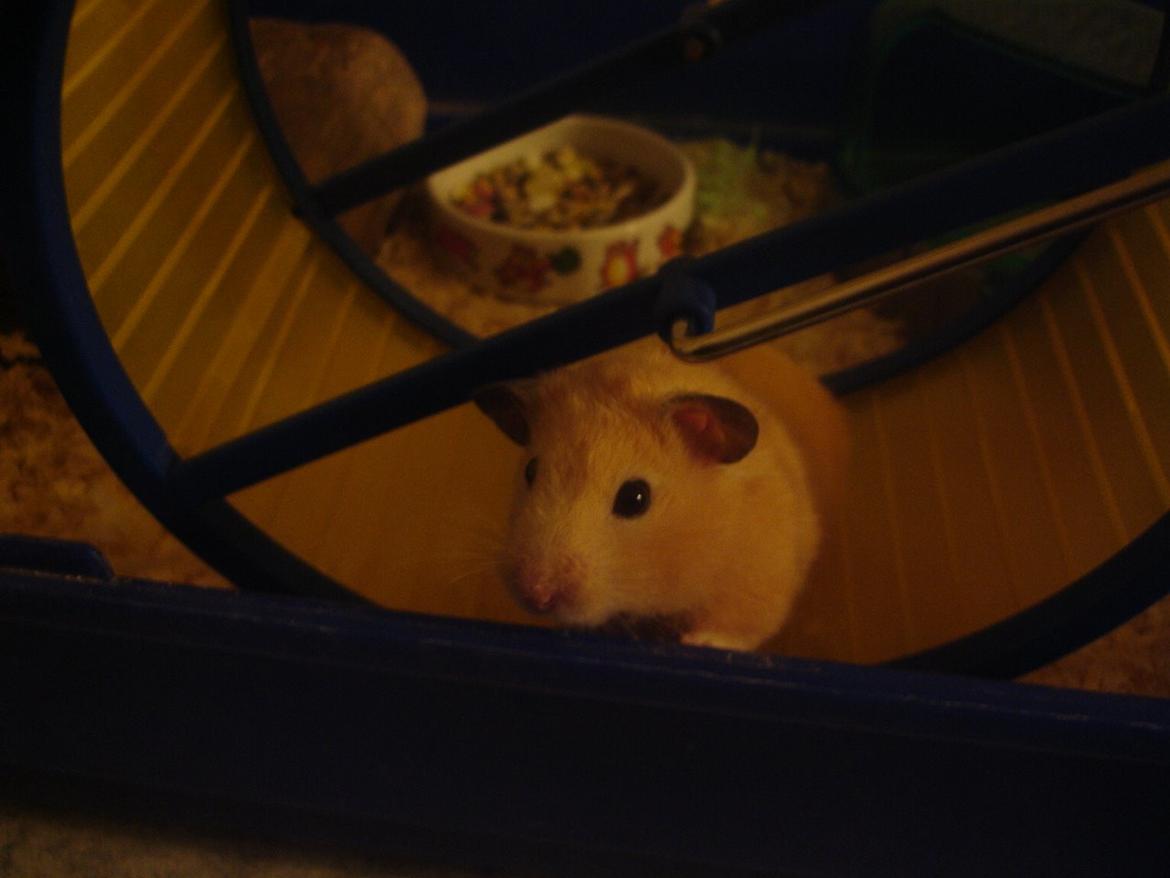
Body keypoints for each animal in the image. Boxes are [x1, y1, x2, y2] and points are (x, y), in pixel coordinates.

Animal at [474, 337, 848, 651]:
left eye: (635, 498)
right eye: (530, 471)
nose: (535, 594)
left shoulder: (760, 576)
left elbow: (738, 627)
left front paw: (696, 641)